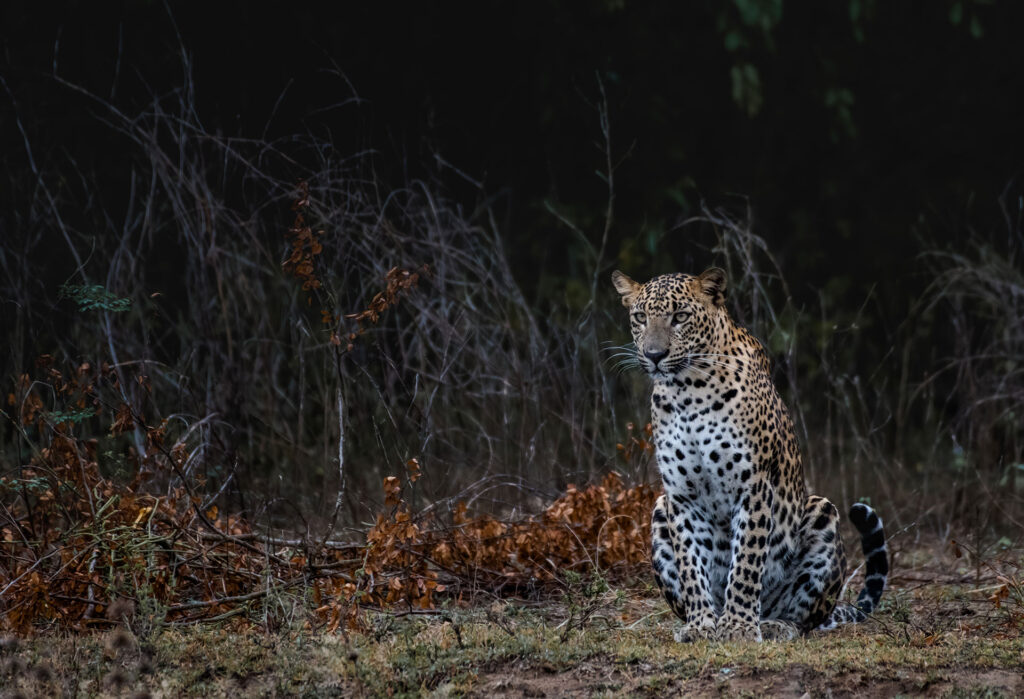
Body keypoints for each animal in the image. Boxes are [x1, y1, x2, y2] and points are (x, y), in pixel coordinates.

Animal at [606, 270, 888, 646]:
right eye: (640, 317)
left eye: (680, 316)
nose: (654, 354)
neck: (686, 391)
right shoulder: (680, 496)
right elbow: (690, 564)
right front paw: (701, 625)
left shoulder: (753, 486)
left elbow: (746, 562)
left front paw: (738, 627)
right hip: (658, 512)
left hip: (821, 512)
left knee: (805, 618)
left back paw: (773, 624)